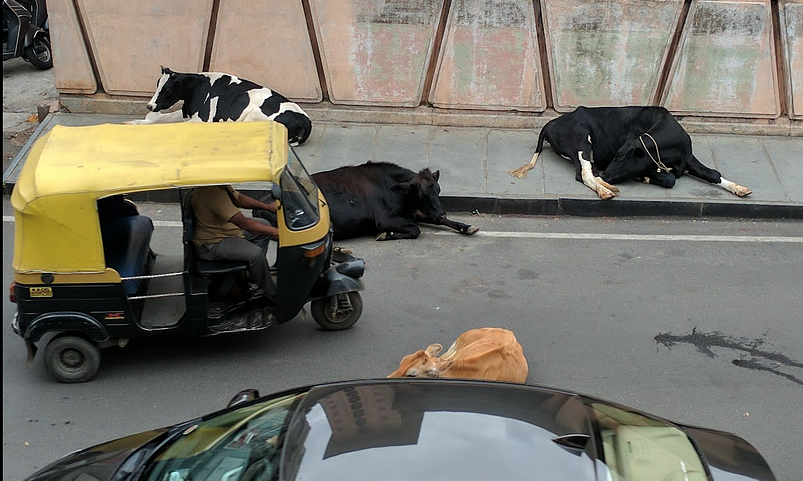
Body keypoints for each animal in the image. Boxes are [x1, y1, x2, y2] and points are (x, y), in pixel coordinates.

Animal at [126, 67, 314, 146]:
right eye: (157, 84)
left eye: (167, 90)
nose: (150, 106)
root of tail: (306, 120)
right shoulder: (188, 112)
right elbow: (164, 118)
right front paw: (132, 124)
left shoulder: (202, 119)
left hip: (254, 116)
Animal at [254, 161, 478, 242]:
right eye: (421, 193)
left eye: (438, 190)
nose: (441, 212)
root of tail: (263, 199)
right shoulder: (385, 219)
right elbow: (415, 230)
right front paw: (385, 235)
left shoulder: (413, 212)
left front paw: (467, 226)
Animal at [508, 106, 752, 200]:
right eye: (616, 155)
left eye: (622, 157)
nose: (607, 174)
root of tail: (550, 122)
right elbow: (670, 179)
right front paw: (647, 177)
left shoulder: (688, 158)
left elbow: (712, 173)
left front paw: (739, 188)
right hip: (580, 141)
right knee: (584, 174)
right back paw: (605, 189)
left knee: (589, 172)